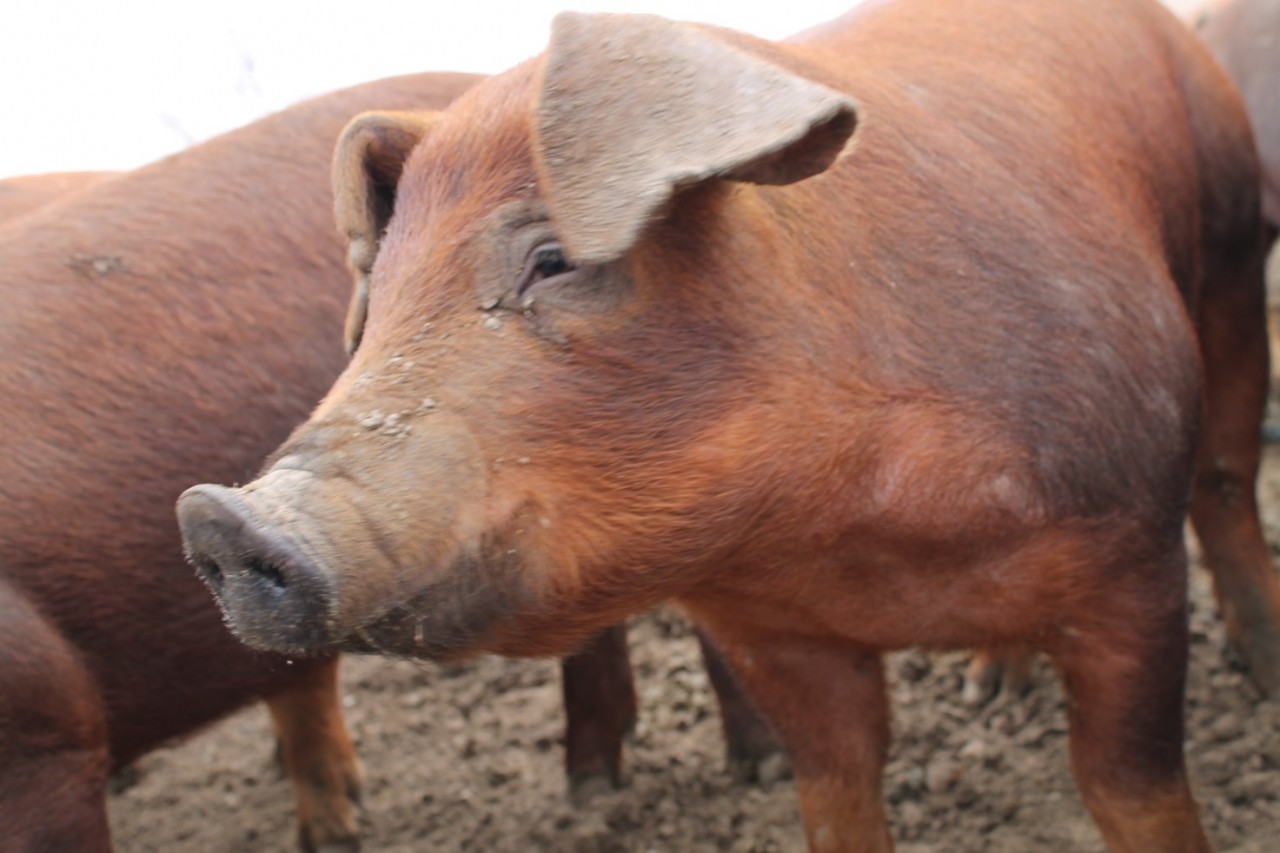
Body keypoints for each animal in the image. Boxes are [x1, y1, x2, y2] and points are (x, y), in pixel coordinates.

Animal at [180, 0, 1280, 845]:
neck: (867, 538)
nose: (220, 516)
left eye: (554, 260)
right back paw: (991, 692)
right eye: (379, 304)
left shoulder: (1129, 558)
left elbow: (1129, 782)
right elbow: (835, 787)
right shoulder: (770, 632)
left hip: (1230, 252)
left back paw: (1260, 671)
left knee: (1225, 473)